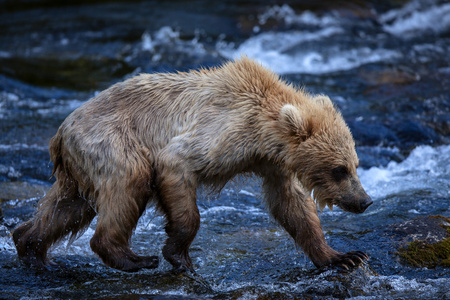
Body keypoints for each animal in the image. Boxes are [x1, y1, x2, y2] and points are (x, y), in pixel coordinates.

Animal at [13, 57, 372, 274]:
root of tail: (61, 131)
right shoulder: (222, 131)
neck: (265, 134)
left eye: (355, 164)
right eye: (340, 169)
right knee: (130, 180)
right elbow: (177, 166)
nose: (365, 201)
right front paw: (179, 254)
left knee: (66, 208)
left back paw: (30, 246)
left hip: (81, 166)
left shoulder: (275, 166)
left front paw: (346, 257)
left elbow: (293, 207)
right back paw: (133, 258)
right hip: (111, 141)